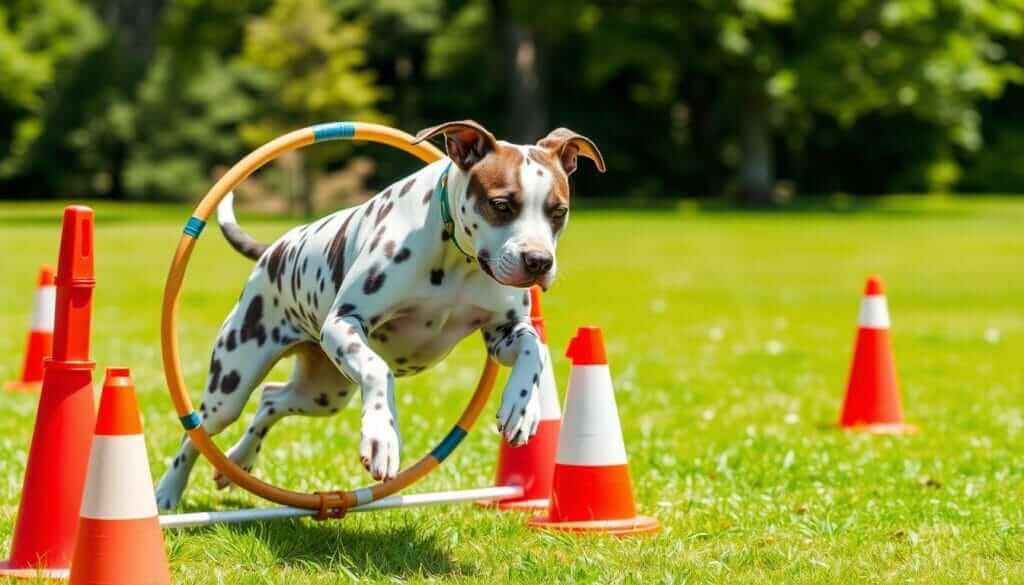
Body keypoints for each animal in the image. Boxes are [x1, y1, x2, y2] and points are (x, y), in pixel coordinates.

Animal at [154, 120, 602, 512]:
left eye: (558, 211)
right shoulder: (345, 323)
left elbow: (532, 347)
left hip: (324, 392)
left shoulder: (503, 333)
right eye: (501, 204)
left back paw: (238, 461)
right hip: (232, 381)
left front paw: (521, 409)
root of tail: (274, 249)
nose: (538, 261)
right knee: (197, 432)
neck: (457, 257)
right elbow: (377, 369)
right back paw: (167, 492)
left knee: (271, 399)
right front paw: (382, 435)